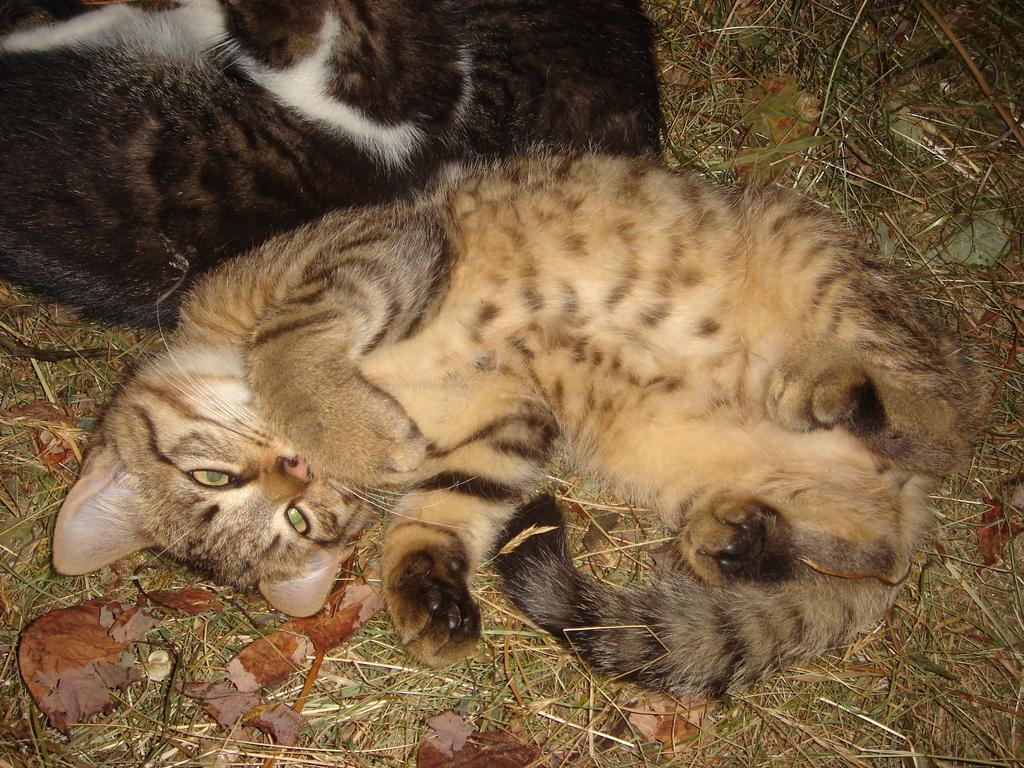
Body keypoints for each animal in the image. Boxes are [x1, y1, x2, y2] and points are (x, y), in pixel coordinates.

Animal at [56, 156, 983, 696]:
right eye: (300, 525)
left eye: (210, 477)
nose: (300, 471)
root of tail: (914, 501)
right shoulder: (508, 419)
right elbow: (444, 509)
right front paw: (426, 596)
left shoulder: (373, 245)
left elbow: (287, 339)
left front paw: (343, 427)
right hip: (691, 467)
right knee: (869, 551)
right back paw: (737, 538)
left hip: (815, 259)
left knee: (941, 419)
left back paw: (834, 391)